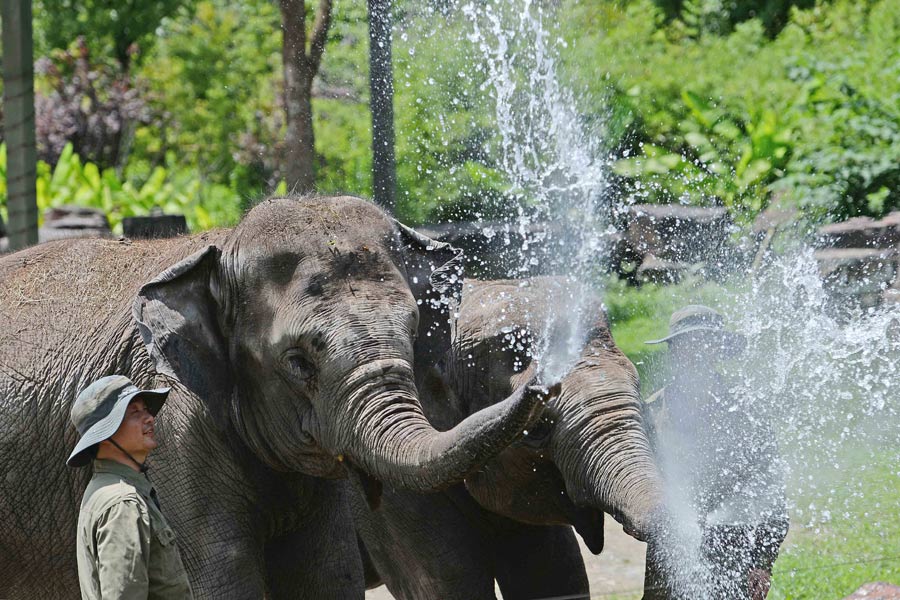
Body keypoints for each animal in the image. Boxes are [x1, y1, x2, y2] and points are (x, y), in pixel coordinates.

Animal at [0, 195, 548, 596]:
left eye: (415, 334)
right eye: (298, 361)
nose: (541, 384)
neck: (221, 249)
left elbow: (325, 572)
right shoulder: (178, 431)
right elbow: (220, 574)